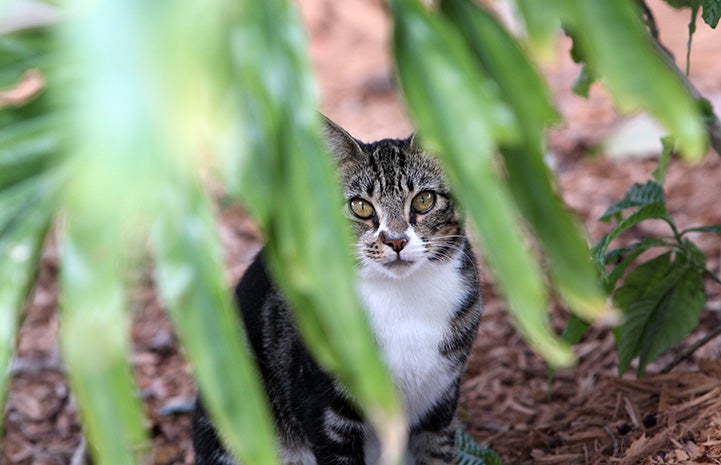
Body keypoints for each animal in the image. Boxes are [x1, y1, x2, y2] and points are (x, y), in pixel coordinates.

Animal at [194, 116, 480, 464]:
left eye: (424, 200)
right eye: (360, 207)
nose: (396, 240)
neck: (402, 299)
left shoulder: (441, 399)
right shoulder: (323, 405)